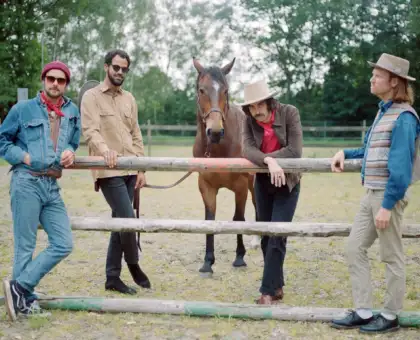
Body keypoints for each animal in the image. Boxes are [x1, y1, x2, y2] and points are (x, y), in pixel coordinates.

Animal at [193, 57, 256, 274]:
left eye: (226, 90)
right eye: (201, 90)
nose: (214, 132)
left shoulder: (241, 186)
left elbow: (238, 219)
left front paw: (240, 257)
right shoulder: (206, 186)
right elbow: (209, 220)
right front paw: (207, 262)